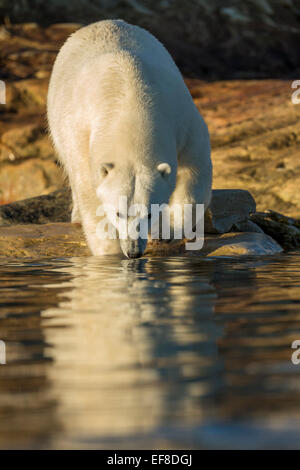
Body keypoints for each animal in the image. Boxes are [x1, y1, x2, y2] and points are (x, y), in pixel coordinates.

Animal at [47, 20, 212, 258]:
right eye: (118, 213)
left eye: (150, 213)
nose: (134, 251)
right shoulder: (79, 132)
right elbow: (88, 190)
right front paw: (110, 251)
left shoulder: (181, 117)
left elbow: (193, 170)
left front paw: (168, 230)